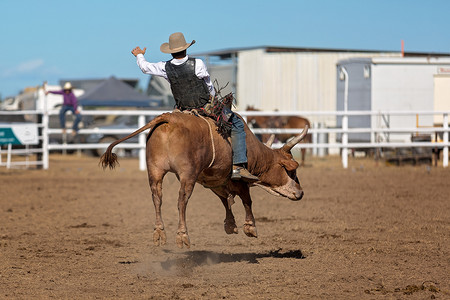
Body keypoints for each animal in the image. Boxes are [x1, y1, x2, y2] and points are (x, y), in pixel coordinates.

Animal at [100, 110, 308, 248]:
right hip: (187, 174)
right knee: (181, 200)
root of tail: (169, 118)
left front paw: (230, 224)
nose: (300, 192)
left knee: (157, 198)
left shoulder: (216, 180)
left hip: (155, 170)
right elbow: (247, 200)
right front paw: (250, 227)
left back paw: (159, 233)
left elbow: (225, 200)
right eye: (291, 172)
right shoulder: (238, 180)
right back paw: (182, 236)